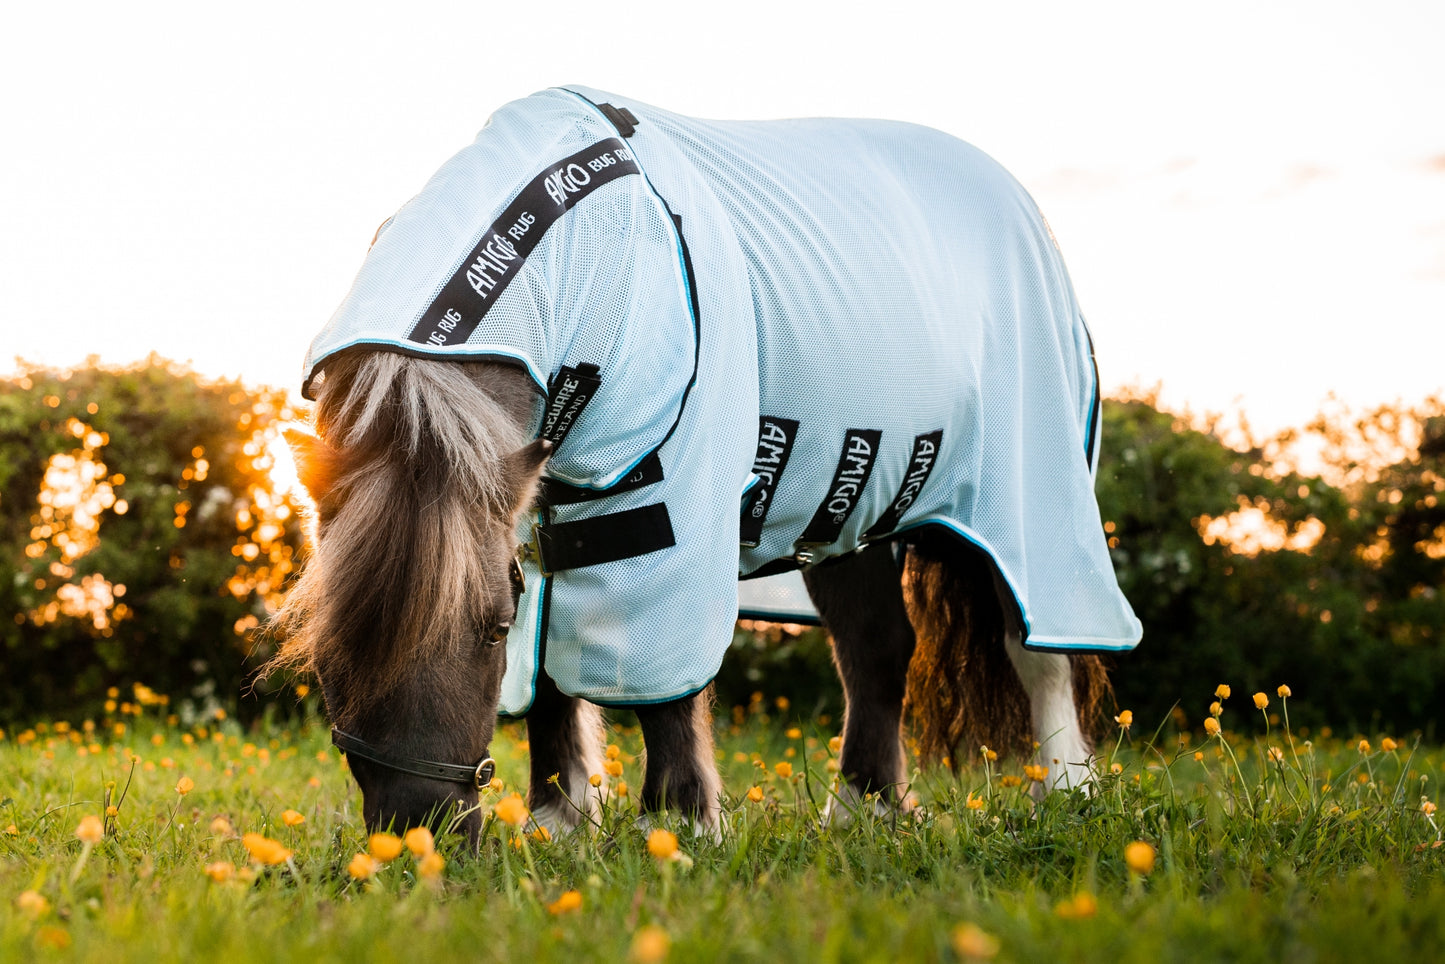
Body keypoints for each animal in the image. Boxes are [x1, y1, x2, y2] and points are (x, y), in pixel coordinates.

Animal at [270, 86, 1141, 842]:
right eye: (324, 646)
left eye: (492, 629)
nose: (420, 834)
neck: (587, 256)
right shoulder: (542, 503)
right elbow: (550, 675)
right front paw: (560, 821)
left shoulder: (665, 499)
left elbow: (660, 681)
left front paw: (679, 823)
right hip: (849, 501)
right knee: (875, 647)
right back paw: (861, 811)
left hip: (1028, 493)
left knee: (1037, 650)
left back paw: (1068, 791)